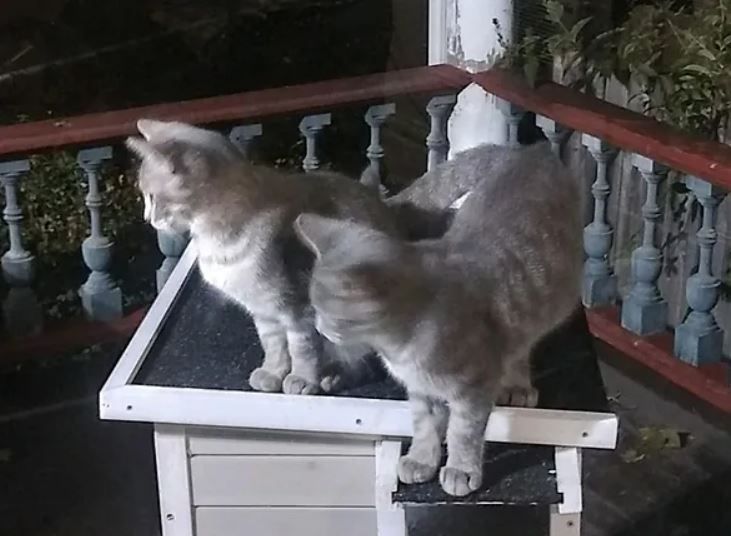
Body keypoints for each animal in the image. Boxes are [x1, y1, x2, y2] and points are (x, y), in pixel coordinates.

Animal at [126, 118, 406, 395]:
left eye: (151, 197)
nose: (146, 218)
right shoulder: (263, 310)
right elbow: (273, 345)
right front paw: (273, 373)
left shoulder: (299, 308)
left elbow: (303, 348)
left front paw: (302, 378)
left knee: (367, 363)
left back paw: (334, 376)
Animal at [294, 141, 582, 496]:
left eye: (326, 310)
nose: (318, 327)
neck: (398, 347)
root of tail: (531, 151)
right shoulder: (419, 389)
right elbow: (423, 425)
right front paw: (421, 459)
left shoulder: (474, 388)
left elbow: (463, 432)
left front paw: (461, 468)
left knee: (523, 345)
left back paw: (517, 383)